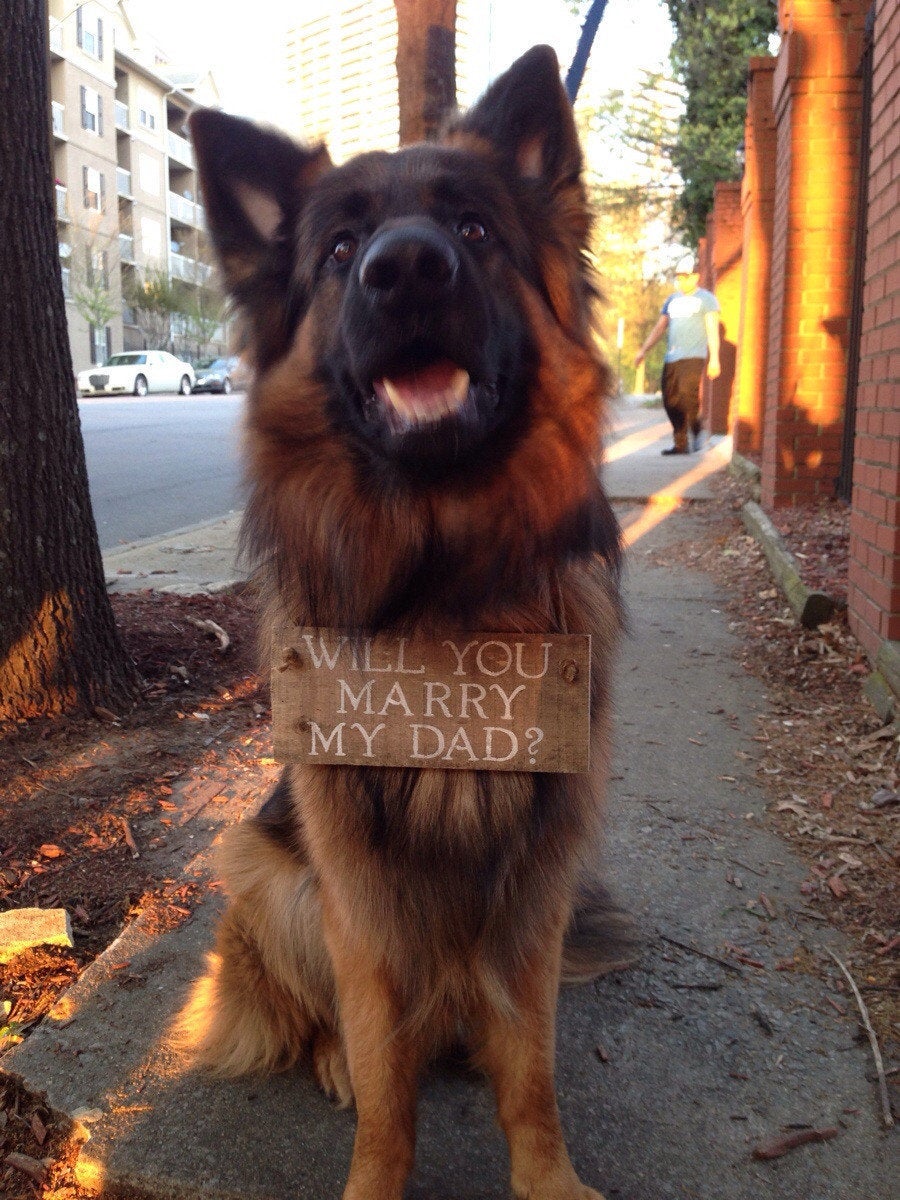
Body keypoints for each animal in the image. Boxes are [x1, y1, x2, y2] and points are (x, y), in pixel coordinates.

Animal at [184, 44, 628, 1200]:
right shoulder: (357, 885)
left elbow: (532, 1071)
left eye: (472, 229)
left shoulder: (537, 878)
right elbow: (388, 1081)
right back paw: (335, 1054)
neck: (442, 593)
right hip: (266, 871)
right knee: (329, 1022)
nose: (409, 269)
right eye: (340, 250)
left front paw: (549, 1179)